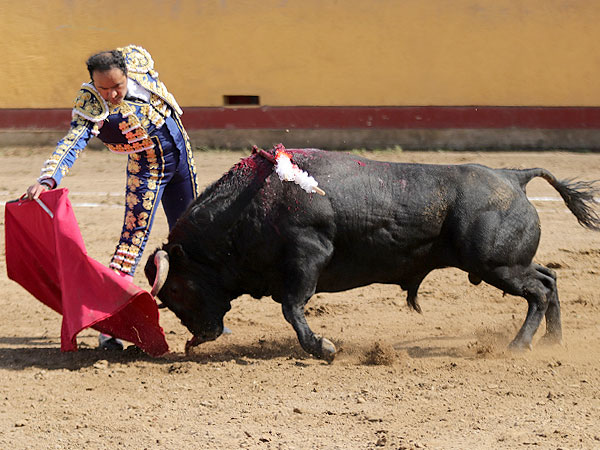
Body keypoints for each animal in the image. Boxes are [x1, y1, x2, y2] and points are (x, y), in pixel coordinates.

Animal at [146, 149, 600, 360]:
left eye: (175, 291)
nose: (197, 336)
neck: (252, 205)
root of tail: (513, 176)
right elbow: (291, 308)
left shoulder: (308, 256)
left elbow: (292, 308)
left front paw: (323, 348)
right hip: (508, 264)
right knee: (549, 278)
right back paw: (553, 340)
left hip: (496, 265)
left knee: (539, 290)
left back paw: (519, 345)